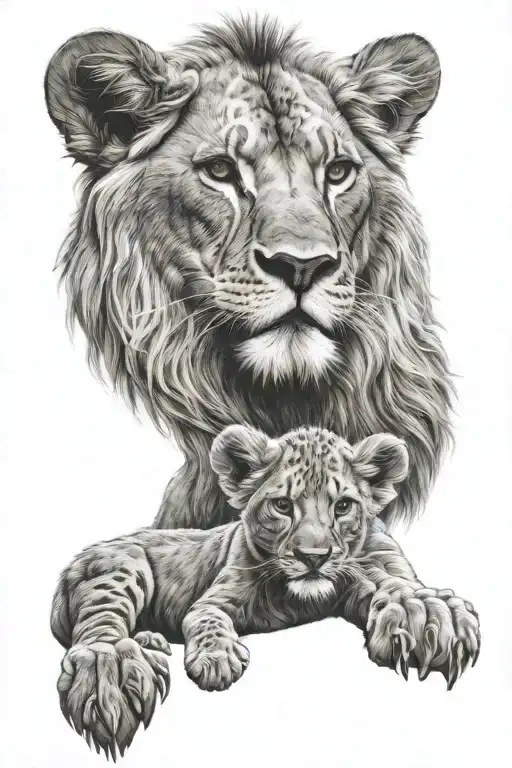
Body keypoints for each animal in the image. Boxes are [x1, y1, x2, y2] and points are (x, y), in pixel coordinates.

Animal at [52, 424, 479, 758]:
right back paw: (113, 670)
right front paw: (217, 660)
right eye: (282, 506)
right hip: (121, 568)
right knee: (98, 630)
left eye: (342, 506)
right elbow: (208, 622)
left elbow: (402, 586)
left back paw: (150, 641)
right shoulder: (214, 599)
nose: (313, 557)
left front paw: (431, 615)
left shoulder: (372, 569)